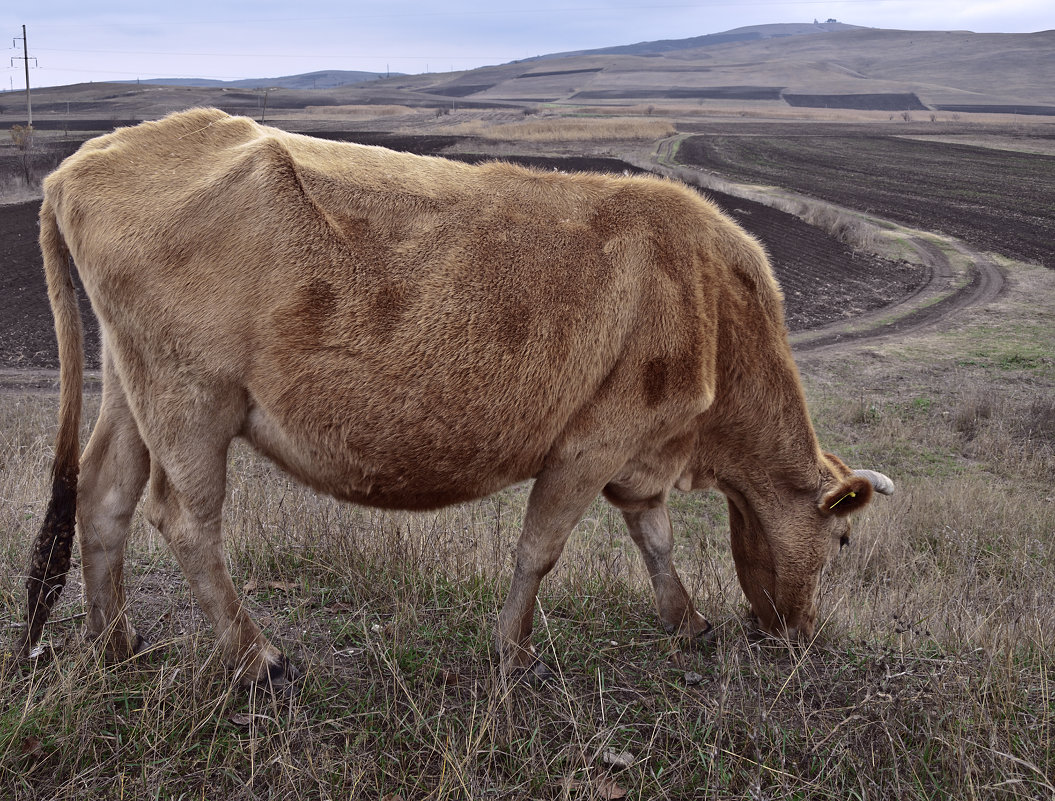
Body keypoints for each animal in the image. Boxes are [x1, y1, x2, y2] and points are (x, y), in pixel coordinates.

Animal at [20, 109, 890, 692]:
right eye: (844, 540)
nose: (798, 631)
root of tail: (80, 163)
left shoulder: (639, 457)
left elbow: (655, 539)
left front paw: (687, 621)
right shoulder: (592, 441)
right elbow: (540, 549)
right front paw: (514, 651)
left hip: (134, 383)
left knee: (103, 495)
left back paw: (115, 643)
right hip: (190, 394)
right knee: (184, 519)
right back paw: (256, 655)